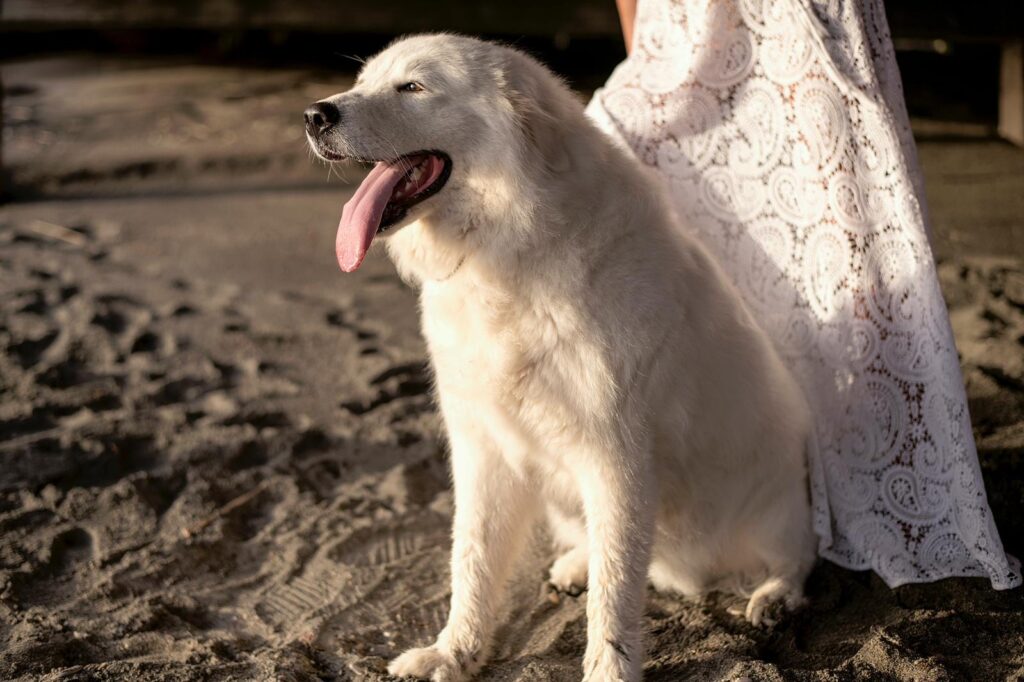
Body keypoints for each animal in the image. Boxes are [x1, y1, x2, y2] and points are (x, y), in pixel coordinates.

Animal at [303, 34, 815, 675]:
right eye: (364, 82)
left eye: (412, 87)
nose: (314, 115)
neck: (505, 253)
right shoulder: (482, 449)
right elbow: (472, 563)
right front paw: (453, 654)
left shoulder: (617, 460)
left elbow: (615, 592)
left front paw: (609, 671)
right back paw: (577, 566)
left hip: (778, 497)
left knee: (797, 557)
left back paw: (774, 597)